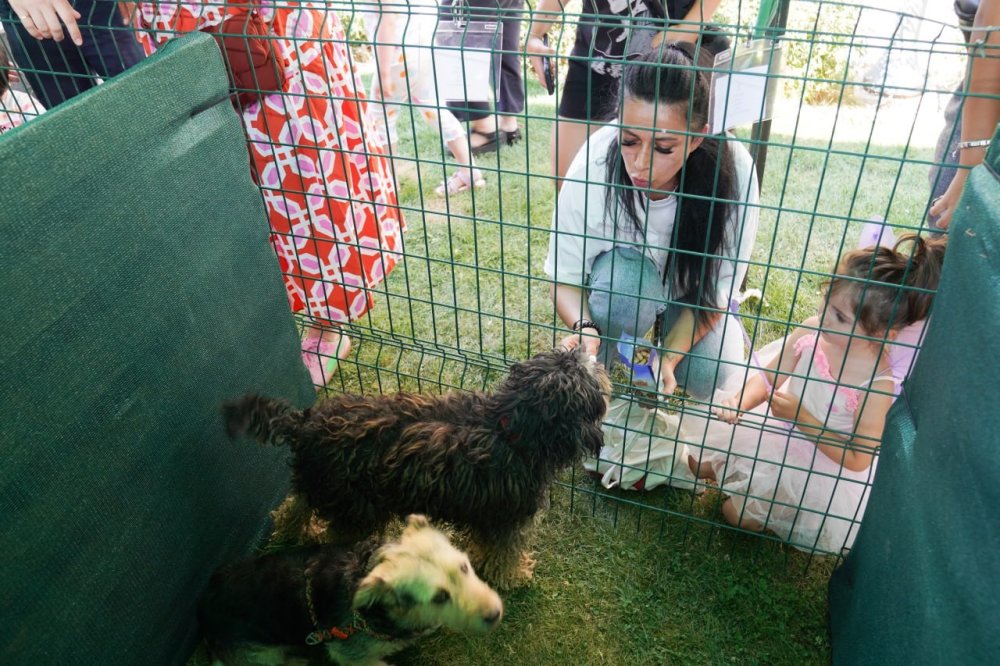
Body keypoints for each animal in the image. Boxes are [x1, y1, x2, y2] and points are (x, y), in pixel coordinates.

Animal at [224, 348, 608, 588]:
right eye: (585, 370)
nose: (588, 352)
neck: (509, 427)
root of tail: (304, 424)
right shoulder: (507, 518)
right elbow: (504, 555)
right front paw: (514, 577)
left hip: (318, 483)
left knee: (293, 507)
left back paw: (293, 531)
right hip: (356, 509)